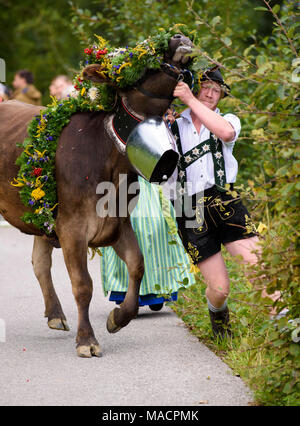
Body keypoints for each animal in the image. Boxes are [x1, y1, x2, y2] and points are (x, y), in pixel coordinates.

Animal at [0, 35, 192, 358]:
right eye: (138, 63)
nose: (177, 37)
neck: (111, 162)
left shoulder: (117, 223)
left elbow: (138, 266)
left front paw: (119, 317)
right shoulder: (72, 228)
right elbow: (83, 285)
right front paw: (86, 340)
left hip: (40, 211)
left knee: (40, 261)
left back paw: (55, 315)